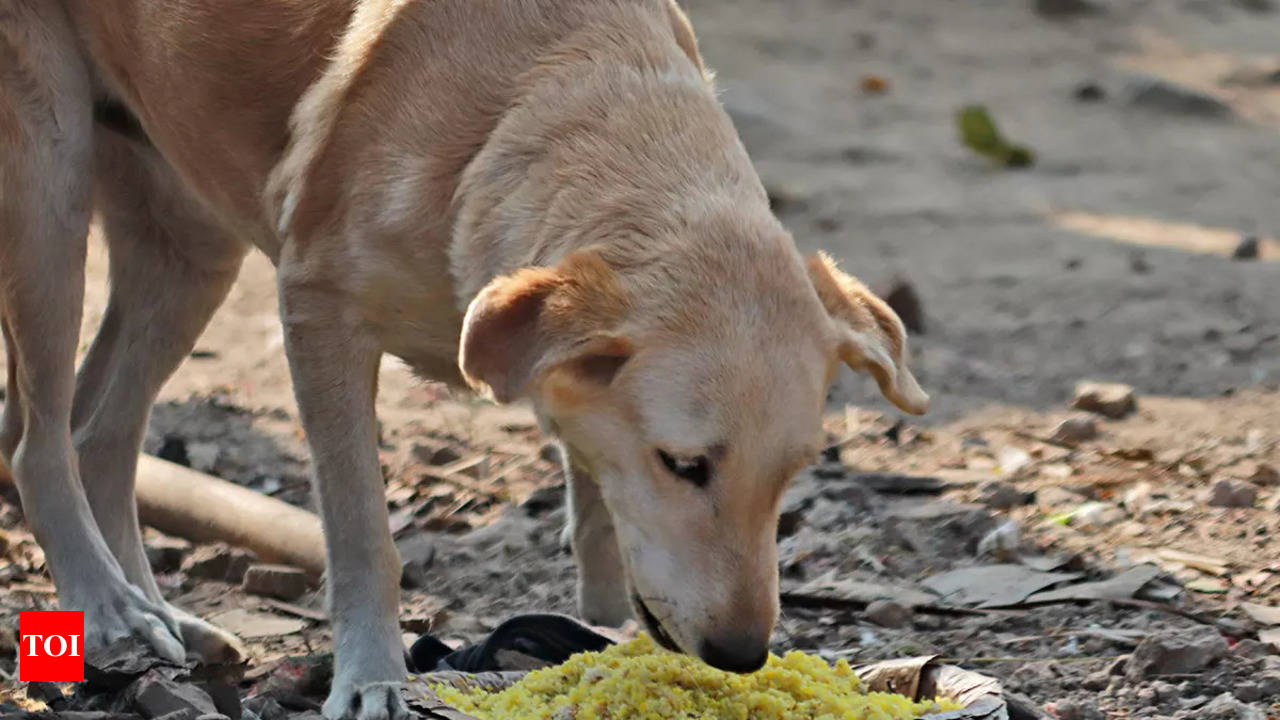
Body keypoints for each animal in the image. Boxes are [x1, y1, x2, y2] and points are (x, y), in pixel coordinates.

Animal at [0, 1, 921, 712]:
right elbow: (364, 536)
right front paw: (372, 680)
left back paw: (157, 616)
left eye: (791, 476)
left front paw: (600, 633)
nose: (741, 654)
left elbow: (597, 519)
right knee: (39, 446)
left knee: (98, 437)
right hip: (49, 189)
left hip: (189, 246)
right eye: (684, 465)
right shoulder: (317, 312)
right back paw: (109, 607)